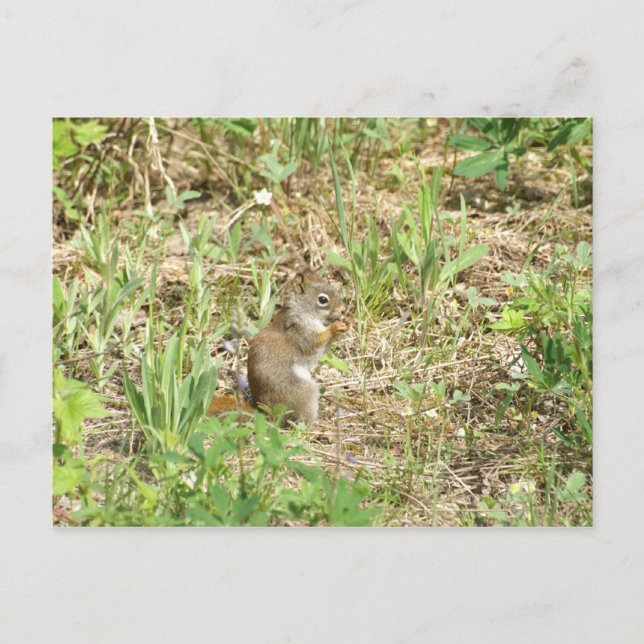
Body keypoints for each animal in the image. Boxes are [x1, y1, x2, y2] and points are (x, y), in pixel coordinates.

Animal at [207, 270, 348, 425]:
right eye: (323, 299)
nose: (343, 310)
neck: (302, 311)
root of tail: (267, 414)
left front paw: (344, 325)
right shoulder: (300, 332)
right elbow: (313, 344)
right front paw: (335, 327)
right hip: (303, 393)